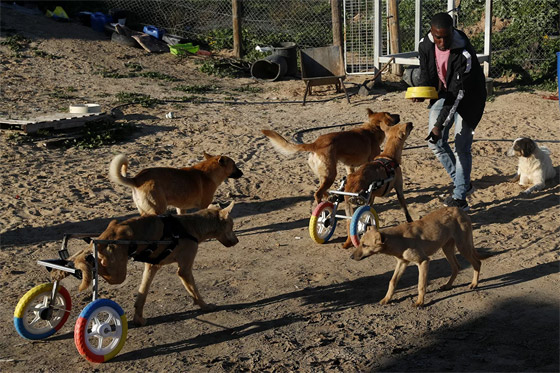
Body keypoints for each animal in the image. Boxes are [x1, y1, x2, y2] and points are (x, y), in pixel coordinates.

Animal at [54, 201, 241, 326]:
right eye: (232, 225)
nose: (237, 241)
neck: (191, 226)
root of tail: (106, 236)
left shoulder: (152, 267)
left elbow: (142, 295)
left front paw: (138, 319)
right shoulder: (184, 270)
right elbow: (195, 292)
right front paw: (205, 306)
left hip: (100, 256)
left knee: (76, 258)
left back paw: (59, 271)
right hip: (117, 274)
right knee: (91, 267)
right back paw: (82, 267)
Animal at [108, 152, 242, 215]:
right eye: (234, 165)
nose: (242, 173)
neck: (208, 173)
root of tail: (136, 179)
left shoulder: (181, 208)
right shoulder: (204, 205)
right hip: (158, 209)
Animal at [260, 109, 400, 202]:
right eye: (390, 114)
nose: (399, 114)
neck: (373, 128)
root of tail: (315, 144)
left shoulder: (349, 167)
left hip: (325, 175)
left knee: (323, 191)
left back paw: (329, 199)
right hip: (331, 174)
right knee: (317, 194)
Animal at [352, 206, 488, 306]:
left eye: (365, 245)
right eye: (360, 242)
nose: (351, 257)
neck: (399, 239)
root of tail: (460, 210)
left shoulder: (423, 261)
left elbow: (421, 285)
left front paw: (419, 302)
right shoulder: (402, 262)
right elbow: (392, 281)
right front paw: (387, 299)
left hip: (463, 246)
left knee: (477, 263)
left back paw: (474, 284)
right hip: (447, 248)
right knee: (456, 267)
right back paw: (448, 285)